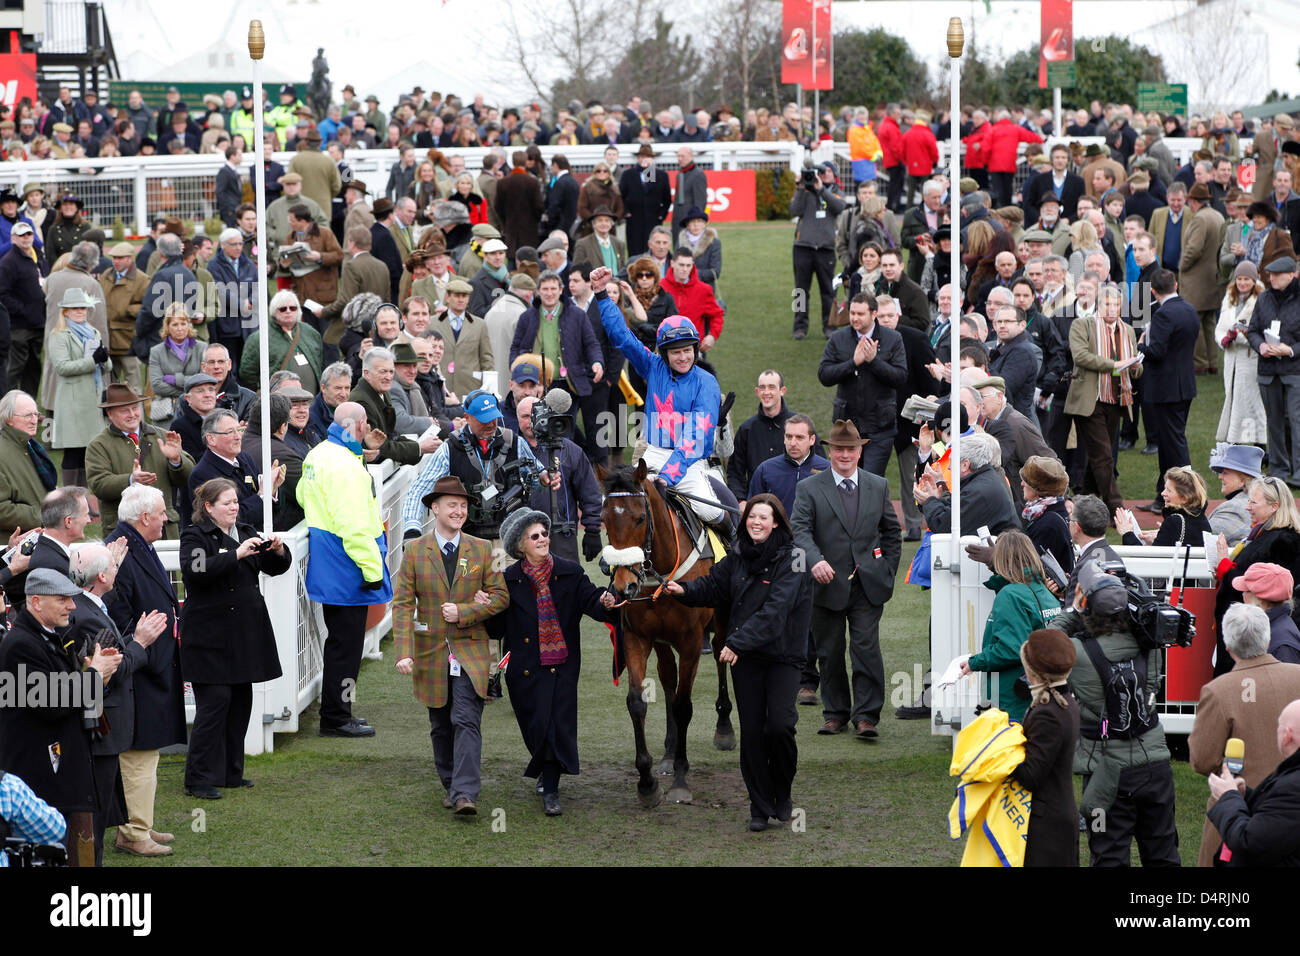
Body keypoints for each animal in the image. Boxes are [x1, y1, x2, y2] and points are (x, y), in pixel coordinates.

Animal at [595, 463, 733, 806]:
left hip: (722, 617)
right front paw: (646, 781)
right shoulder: (637, 637)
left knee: (721, 653)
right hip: (661, 641)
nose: (625, 586)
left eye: (639, 518)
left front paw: (681, 780)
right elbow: (637, 701)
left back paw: (724, 728)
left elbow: (684, 706)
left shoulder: (692, 641)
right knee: (669, 677)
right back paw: (669, 753)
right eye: (605, 519)